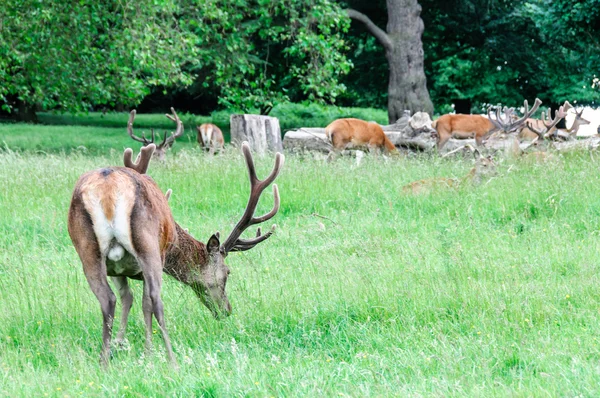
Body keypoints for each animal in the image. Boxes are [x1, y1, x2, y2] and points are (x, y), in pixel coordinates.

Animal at [69, 127, 284, 366]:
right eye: (228, 272)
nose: (227, 310)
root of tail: (108, 189)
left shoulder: (117, 269)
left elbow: (127, 298)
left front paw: (119, 344)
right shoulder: (156, 258)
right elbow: (144, 302)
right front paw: (147, 351)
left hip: (88, 251)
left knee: (107, 299)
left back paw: (104, 361)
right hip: (148, 247)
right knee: (155, 300)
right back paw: (170, 359)